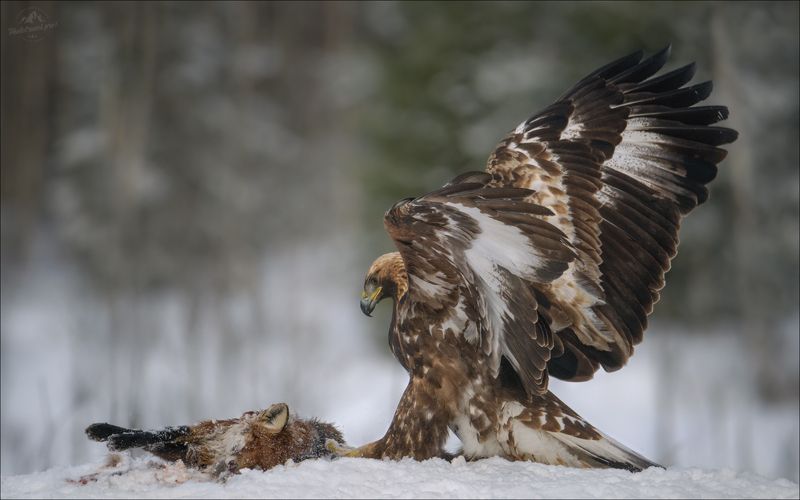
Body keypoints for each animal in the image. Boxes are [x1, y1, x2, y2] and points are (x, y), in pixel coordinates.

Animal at [85, 403, 345, 478]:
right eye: (246, 448)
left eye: (254, 465)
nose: (226, 467)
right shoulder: (207, 431)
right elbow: (158, 433)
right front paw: (104, 431)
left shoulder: (191, 453)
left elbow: (155, 440)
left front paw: (115, 440)